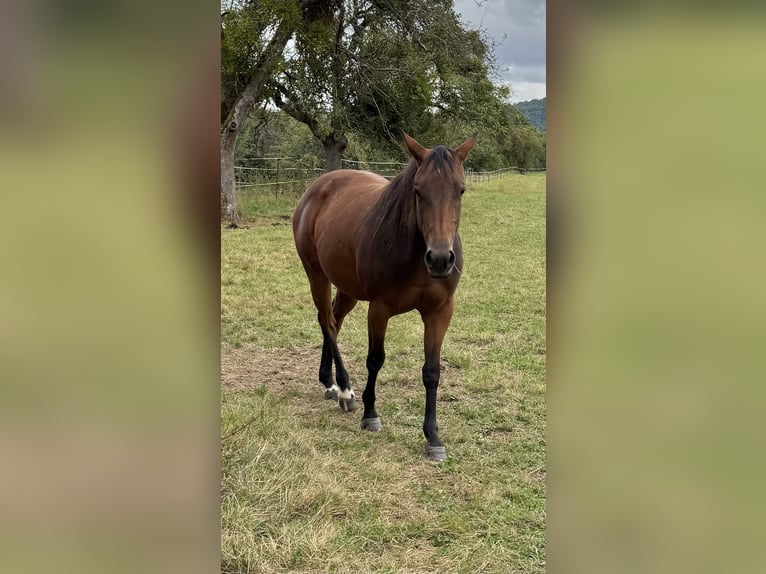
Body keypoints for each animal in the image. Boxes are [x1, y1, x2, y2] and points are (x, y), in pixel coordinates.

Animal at [292, 133, 476, 461]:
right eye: (418, 190)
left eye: (461, 190)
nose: (440, 259)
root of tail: (316, 188)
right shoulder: (379, 309)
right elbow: (375, 360)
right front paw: (370, 414)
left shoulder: (440, 311)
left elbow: (432, 371)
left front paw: (433, 437)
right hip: (316, 275)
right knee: (327, 322)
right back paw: (344, 389)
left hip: (347, 287)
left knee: (334, 320)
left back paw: (328, 381)